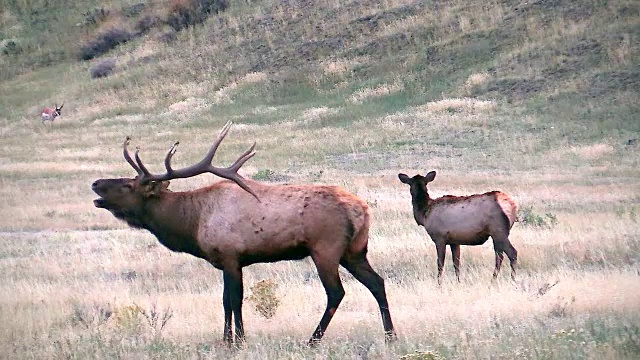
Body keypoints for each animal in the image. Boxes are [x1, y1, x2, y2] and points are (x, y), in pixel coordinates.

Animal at [90, 122, 396, 348]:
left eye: (128, 185)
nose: (95, 183)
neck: (192, 223)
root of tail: (362, 210)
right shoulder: (232, 260)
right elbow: (229, 299)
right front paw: (231, 339)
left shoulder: (230, 255)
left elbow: (233, 298)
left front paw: (236, 341)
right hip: (355, 251)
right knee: (377, 282)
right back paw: (390, 336)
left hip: (325, 248)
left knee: (336, 292)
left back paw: (312, 341)